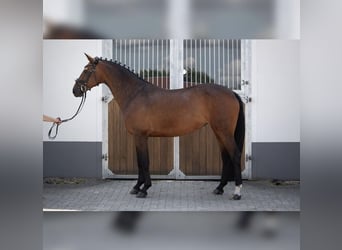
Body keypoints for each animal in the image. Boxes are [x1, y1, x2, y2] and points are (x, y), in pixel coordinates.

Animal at [72, 53, 244, 200]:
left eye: (86, 70)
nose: (75, 91)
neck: (135, 94)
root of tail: (231, 92)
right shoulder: (138, 137)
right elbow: (139, 162)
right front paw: (137, 187)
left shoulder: (141, 136)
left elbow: (144, 162)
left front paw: (144, 189)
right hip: (218, 132)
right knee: (225, 157)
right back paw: (219, 188)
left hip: (224, 132)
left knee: (235, 155)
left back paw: (237, 192)